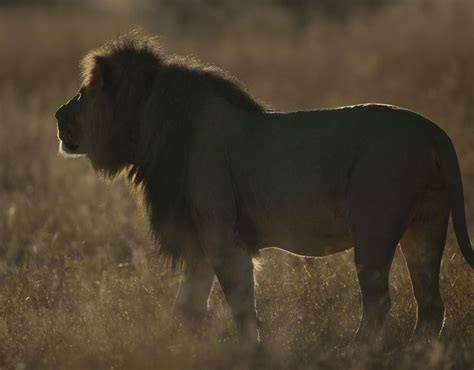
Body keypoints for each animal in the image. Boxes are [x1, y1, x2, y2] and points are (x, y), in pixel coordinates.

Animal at [54, 35, 470, 352]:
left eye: (83, 93)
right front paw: (177, 345)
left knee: (380, 301)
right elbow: (188, 307)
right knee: (431, 303)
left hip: (375, 224)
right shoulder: (197, 244)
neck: (151, 130)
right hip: (426, 223)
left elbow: (240, 303)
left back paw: (355, 350)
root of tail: (434, 131)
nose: (57, 115)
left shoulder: (223, 239)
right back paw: (420, 350)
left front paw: (248, 349)